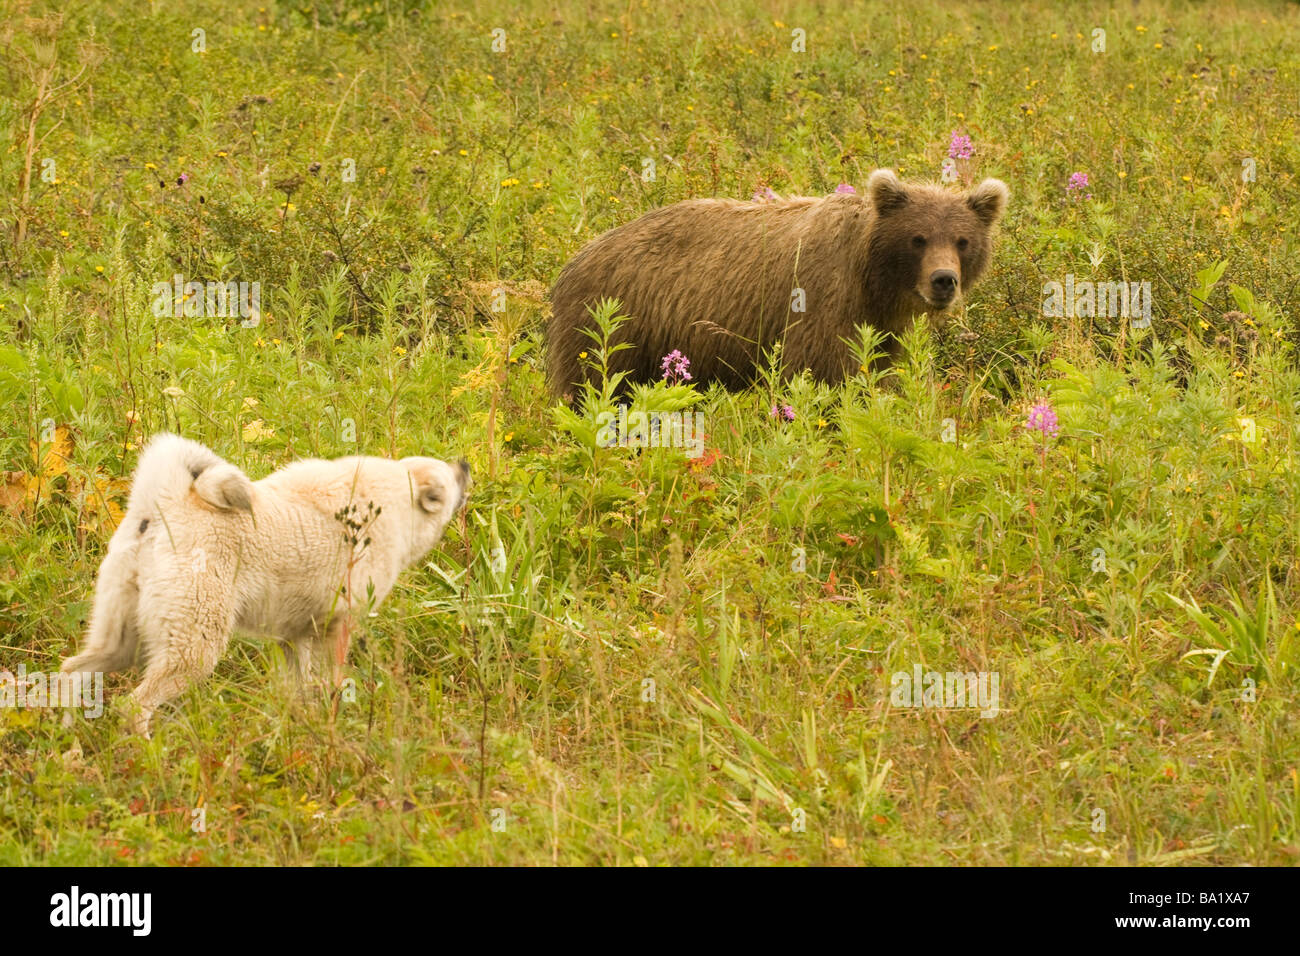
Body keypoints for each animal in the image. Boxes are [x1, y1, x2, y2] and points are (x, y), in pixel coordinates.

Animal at [546, 169, 1009, 396]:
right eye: (918, 238)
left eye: (962, 240)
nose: (943, 280)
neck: (871, 280)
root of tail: (576, 259)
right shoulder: (821, 306)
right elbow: (820, 377)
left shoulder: (878, 327)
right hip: (612, 325)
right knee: (592, 390)